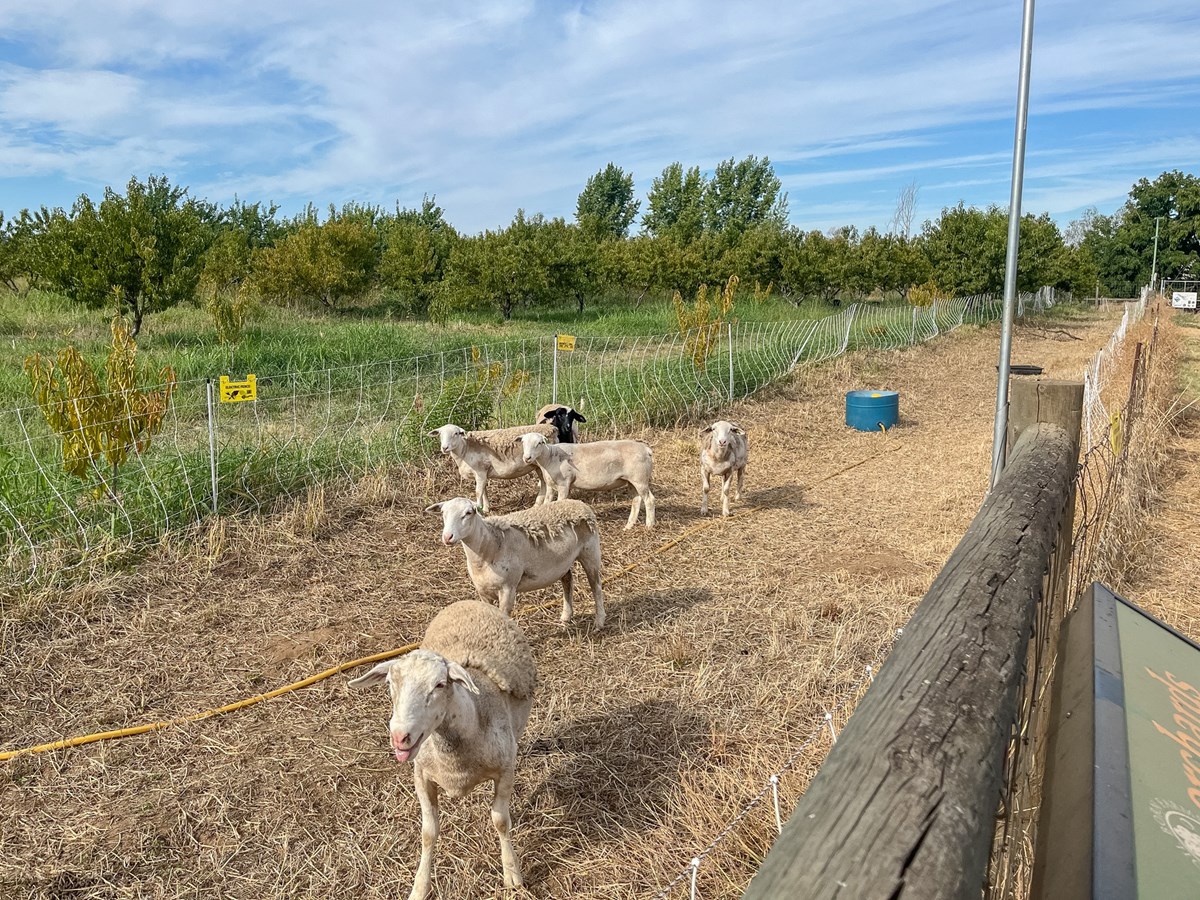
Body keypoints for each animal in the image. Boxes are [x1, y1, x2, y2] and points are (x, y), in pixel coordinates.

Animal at [348, 599, 536, 900]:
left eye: (439, 684)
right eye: (389, 684)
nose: (400, 736)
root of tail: (471, 602)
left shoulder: (505, 769)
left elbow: (499, 820)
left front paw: (512, 873)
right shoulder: (422, 776)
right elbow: (428, 832)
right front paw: (419, 886)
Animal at [426, 496, 606, 627]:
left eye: (469, 513)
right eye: (443, 513)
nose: (447, 537)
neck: (489, 546)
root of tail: (579, 503)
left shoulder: (508, 588)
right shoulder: (483, 591)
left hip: (590, 552)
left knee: (595, 584)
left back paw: (599, 621)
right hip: (562, 562)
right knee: (568, 579)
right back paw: (566, 616)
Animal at [429, 422, 557, 514]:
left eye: (456, 433)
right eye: (440, 434)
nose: (444, 448)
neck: (465, 450)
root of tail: (553, 428)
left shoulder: (480, 472)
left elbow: (478, 492)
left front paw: (478, 508)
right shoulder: (483, 473)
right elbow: (484, 491)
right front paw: (486, 508)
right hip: (537, 466)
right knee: (543, 482)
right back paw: (538, 503)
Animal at [520, 431, 656, 529]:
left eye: (539, 443)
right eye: (523, 443)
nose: (527, 458)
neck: (549, 457)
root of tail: (646, 449)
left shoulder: (564, 484)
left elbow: (560, 503)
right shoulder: (549, 485)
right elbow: (547, 503)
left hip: (640, 479)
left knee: (649, 500)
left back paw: (649, 525)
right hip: (631, 481)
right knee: (636, 500)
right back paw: (629, 526)